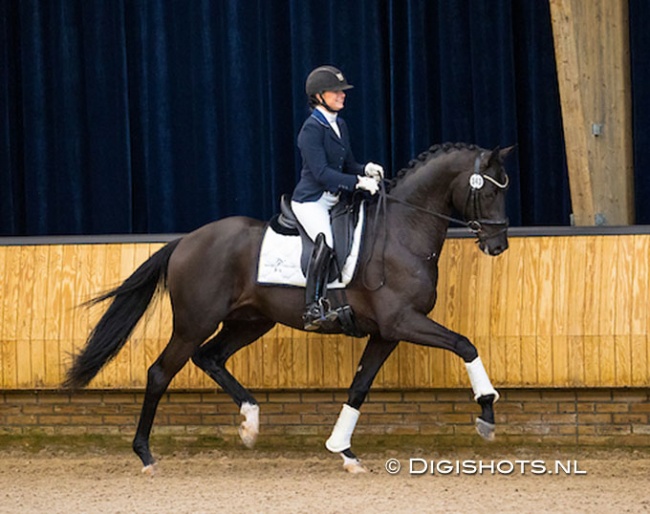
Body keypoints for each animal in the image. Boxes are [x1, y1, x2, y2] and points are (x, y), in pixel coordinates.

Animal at [64, 141, 512, 472]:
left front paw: (343, 450)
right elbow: (465, 344)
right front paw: (486, 413)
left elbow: (359, 387)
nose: (499, 246)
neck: (400, 233)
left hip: (250, 321)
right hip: (195, 322)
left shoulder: (387, 332)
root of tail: (186, 240)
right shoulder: (404, 321)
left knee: (210, 358)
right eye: (490, 191)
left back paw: (250, 422)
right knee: (160, 372)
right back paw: (145, 455)